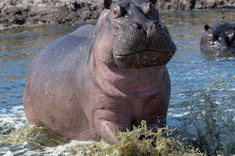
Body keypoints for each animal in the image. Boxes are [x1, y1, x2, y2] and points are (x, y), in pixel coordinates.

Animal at [23, 0, 176, 144]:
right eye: (115, 12)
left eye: (153, 8)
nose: (146, 26)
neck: (137, 86)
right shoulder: (104, 113)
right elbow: (119, 138)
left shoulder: (157, 110)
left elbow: (155, 133)